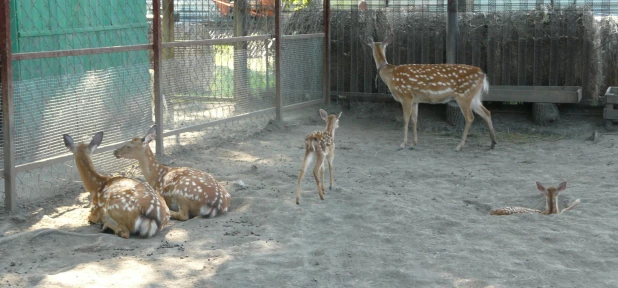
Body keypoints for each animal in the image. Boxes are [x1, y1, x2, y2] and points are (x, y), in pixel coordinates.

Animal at [364, 33, 498, 151]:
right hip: (474, 97)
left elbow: (405, 119)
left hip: (464, 95)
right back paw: (492, 143)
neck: (390, 75)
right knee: (486, 112)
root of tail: (483, 75)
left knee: (470, 117)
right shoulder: (415, 100)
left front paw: (402, 144)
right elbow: (414, 120)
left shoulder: (406, 95)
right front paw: (414, 144)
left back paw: (459, 146)